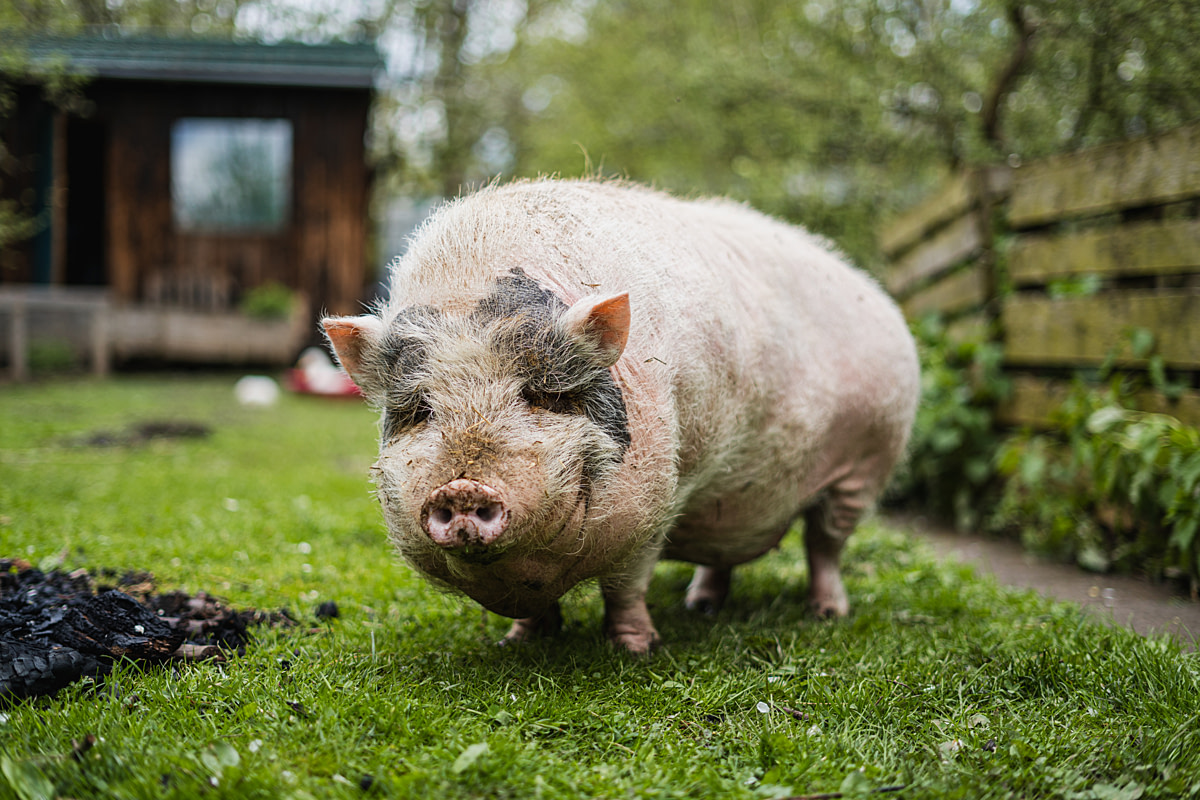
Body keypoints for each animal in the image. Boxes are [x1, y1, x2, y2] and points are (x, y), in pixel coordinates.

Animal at [322, 179, 919, 654]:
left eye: (540, 394)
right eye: (421, 409)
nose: (462, 489)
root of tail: (878, 297)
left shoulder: (656, 501)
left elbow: (626, 586)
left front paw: (637, 650)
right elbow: (535, 611)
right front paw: (519, 642)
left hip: (867, 462)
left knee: (825, 545)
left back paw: (827, 614)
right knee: (726, 552)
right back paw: (701, 608)